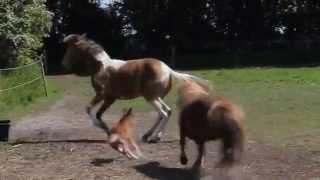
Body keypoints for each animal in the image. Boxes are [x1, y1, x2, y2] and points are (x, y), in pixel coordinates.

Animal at [62, 33, 208, 149]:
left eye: (70, 49)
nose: (64, 64)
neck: (101, 67)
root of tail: (168, 69)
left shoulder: (104, 96)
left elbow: (92, 111)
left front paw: (105, 129)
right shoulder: (106, 97)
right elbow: (93, 111)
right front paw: (106, 129)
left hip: (150, 97)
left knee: (164, 113)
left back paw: (155, 138)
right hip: (157, 97)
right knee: (166, 111)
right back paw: (147, 135)